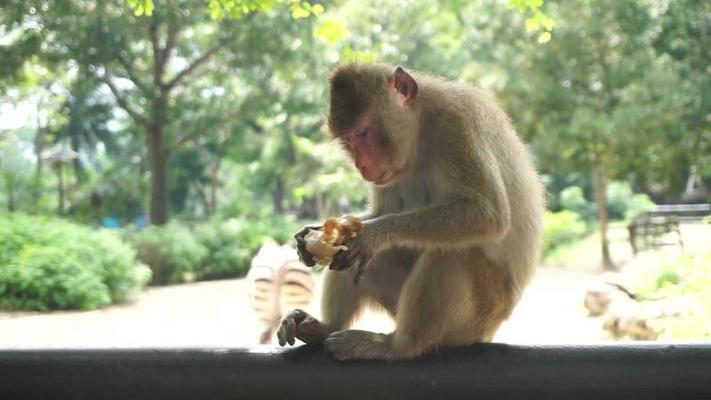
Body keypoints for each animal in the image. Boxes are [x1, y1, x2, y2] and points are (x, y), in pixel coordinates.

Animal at [276, 61, 544, 360]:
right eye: (348, 140)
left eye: (363, 132)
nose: (361, 166)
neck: (422, 129)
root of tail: (490, 330)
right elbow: (383, 210)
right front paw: (313, 235)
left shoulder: (456, 124)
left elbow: (488, 214)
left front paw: (373, 234)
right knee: (355, 258)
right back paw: (323, 327)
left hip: (478, 315)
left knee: (453, 251)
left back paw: (397, 345)